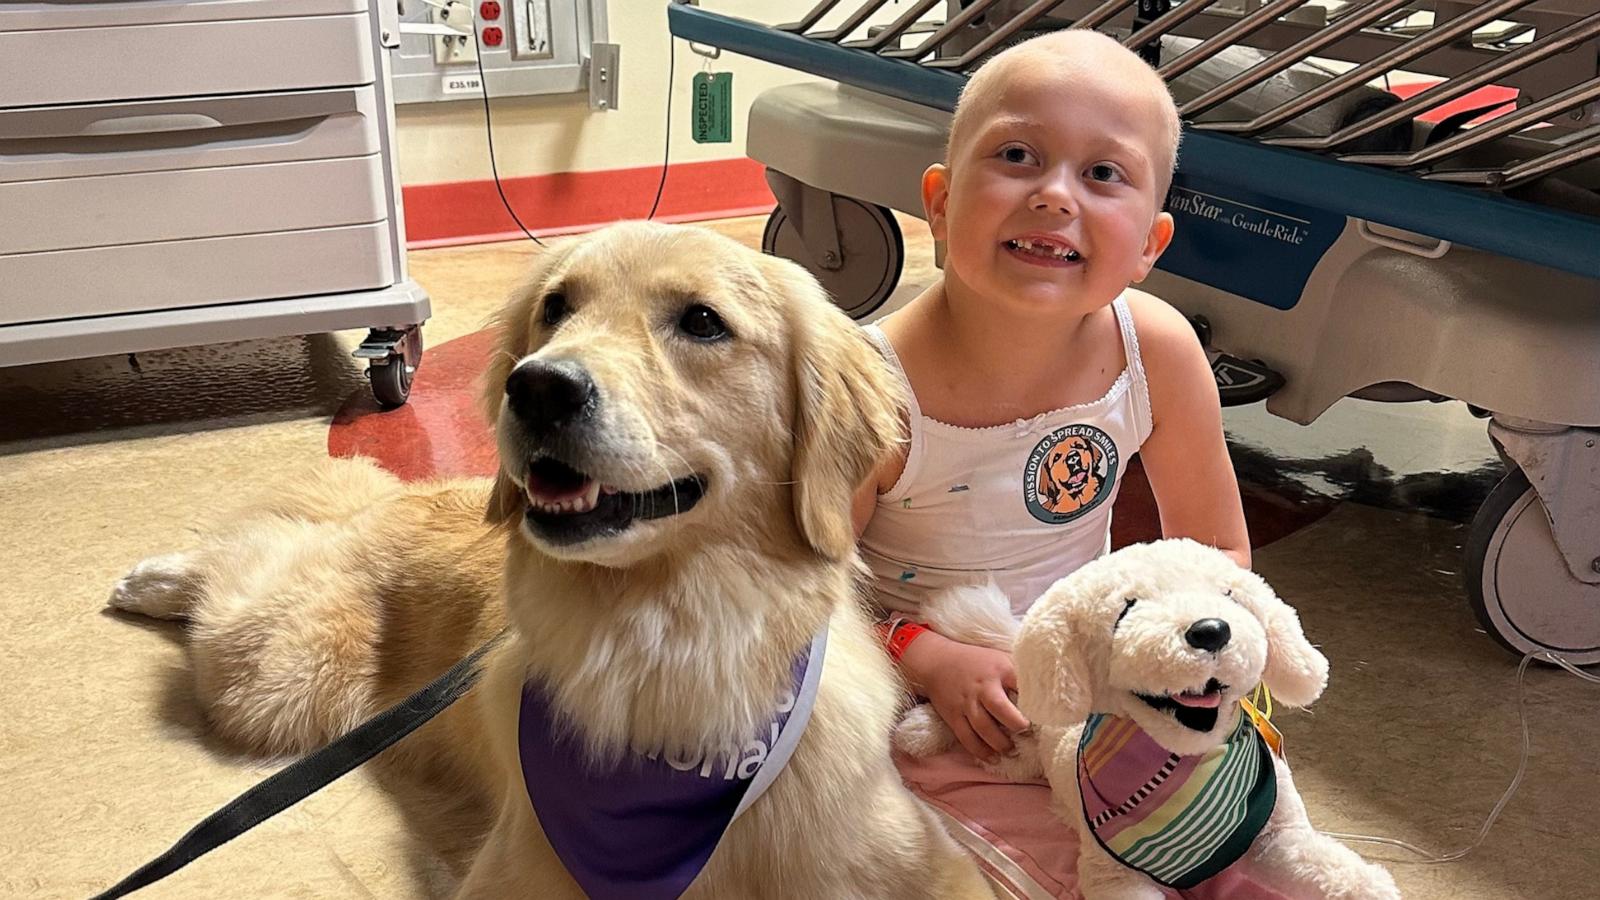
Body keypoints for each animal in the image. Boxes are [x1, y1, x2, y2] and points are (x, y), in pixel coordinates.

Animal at [109, 222, 985, 896]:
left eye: (703, 322)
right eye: (556, 307)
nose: (537, 389)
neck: (668, 644)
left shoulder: (928, 865)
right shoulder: (511, 873)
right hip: (284, 673)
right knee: (251, 555)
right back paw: (151, 578)